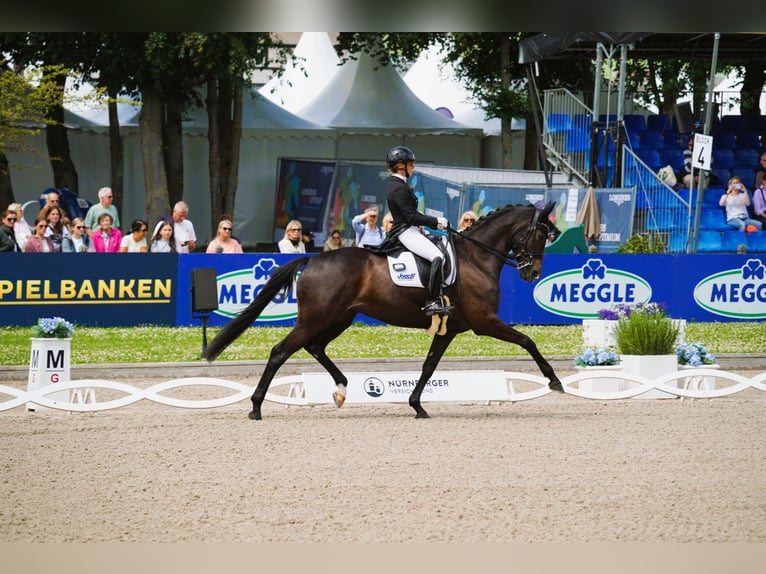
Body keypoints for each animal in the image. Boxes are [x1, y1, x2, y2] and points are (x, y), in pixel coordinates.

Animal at [204, 201, 564, 419]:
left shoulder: (451, 329)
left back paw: (341, 389)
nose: (532, 273)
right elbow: (528, 341)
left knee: (315, 347)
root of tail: (313, 259)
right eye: (540, 234)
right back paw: (256, 407)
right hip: (316, 318)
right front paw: (555, 382)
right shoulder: (485, 322)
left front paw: (417, 405)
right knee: (281, 351)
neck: (476, 258)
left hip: (340, 317)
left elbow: (429, 366)